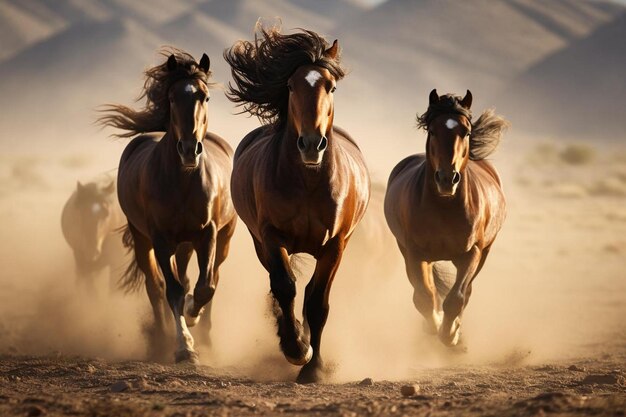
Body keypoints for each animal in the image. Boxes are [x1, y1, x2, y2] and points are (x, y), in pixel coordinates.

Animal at [97, 48, 236, 360]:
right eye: (172, 98)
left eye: (205, 97)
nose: (189, 149)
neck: (182, 181)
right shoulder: (160, 238)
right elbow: (171, 290)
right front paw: (184, 346)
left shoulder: (207, 233)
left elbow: (205, 287)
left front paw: (193, 317)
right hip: (143, 239)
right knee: (155, 285)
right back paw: (161, 338)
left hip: (217, 239)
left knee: (211, 276)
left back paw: (204, 334)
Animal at [223, 27, 368, 382]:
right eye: (291, 86)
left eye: (331, 86)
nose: (312, 144)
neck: (308, 182)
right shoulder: (272, 237)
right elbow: (285, 287)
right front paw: (296, 348)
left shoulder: (335, 245)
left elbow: (317, 303)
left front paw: (313, 368)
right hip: (260, 243)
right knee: (278, 287)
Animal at [380, 90, 508, 348]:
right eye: (432, 131)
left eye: (466, 131)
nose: (447, 179)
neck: (443, 208)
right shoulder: (415, 254)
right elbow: (424, 297)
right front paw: (435, 325)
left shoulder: (472, 253)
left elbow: (457, 297)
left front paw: (450, 334)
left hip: (485, 251)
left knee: (466, 292)